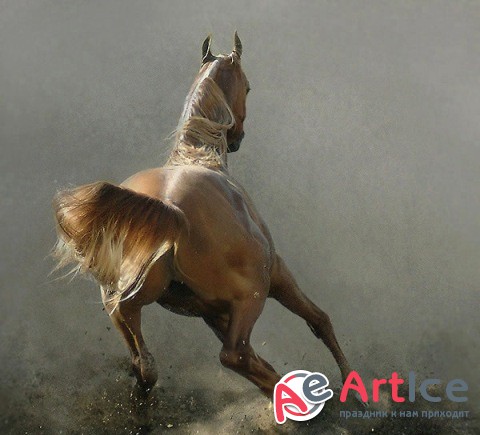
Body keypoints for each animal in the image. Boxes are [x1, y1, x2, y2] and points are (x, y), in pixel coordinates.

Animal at [52, 33, 352, 399]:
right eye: (248, 86)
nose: (237, 138)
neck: (199, 156)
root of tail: (171, 210)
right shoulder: (277, 274)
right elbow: (319, 320)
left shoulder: (212, 311)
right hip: (253, 294)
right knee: (234, 355)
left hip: (131, 295)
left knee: (137, 344)